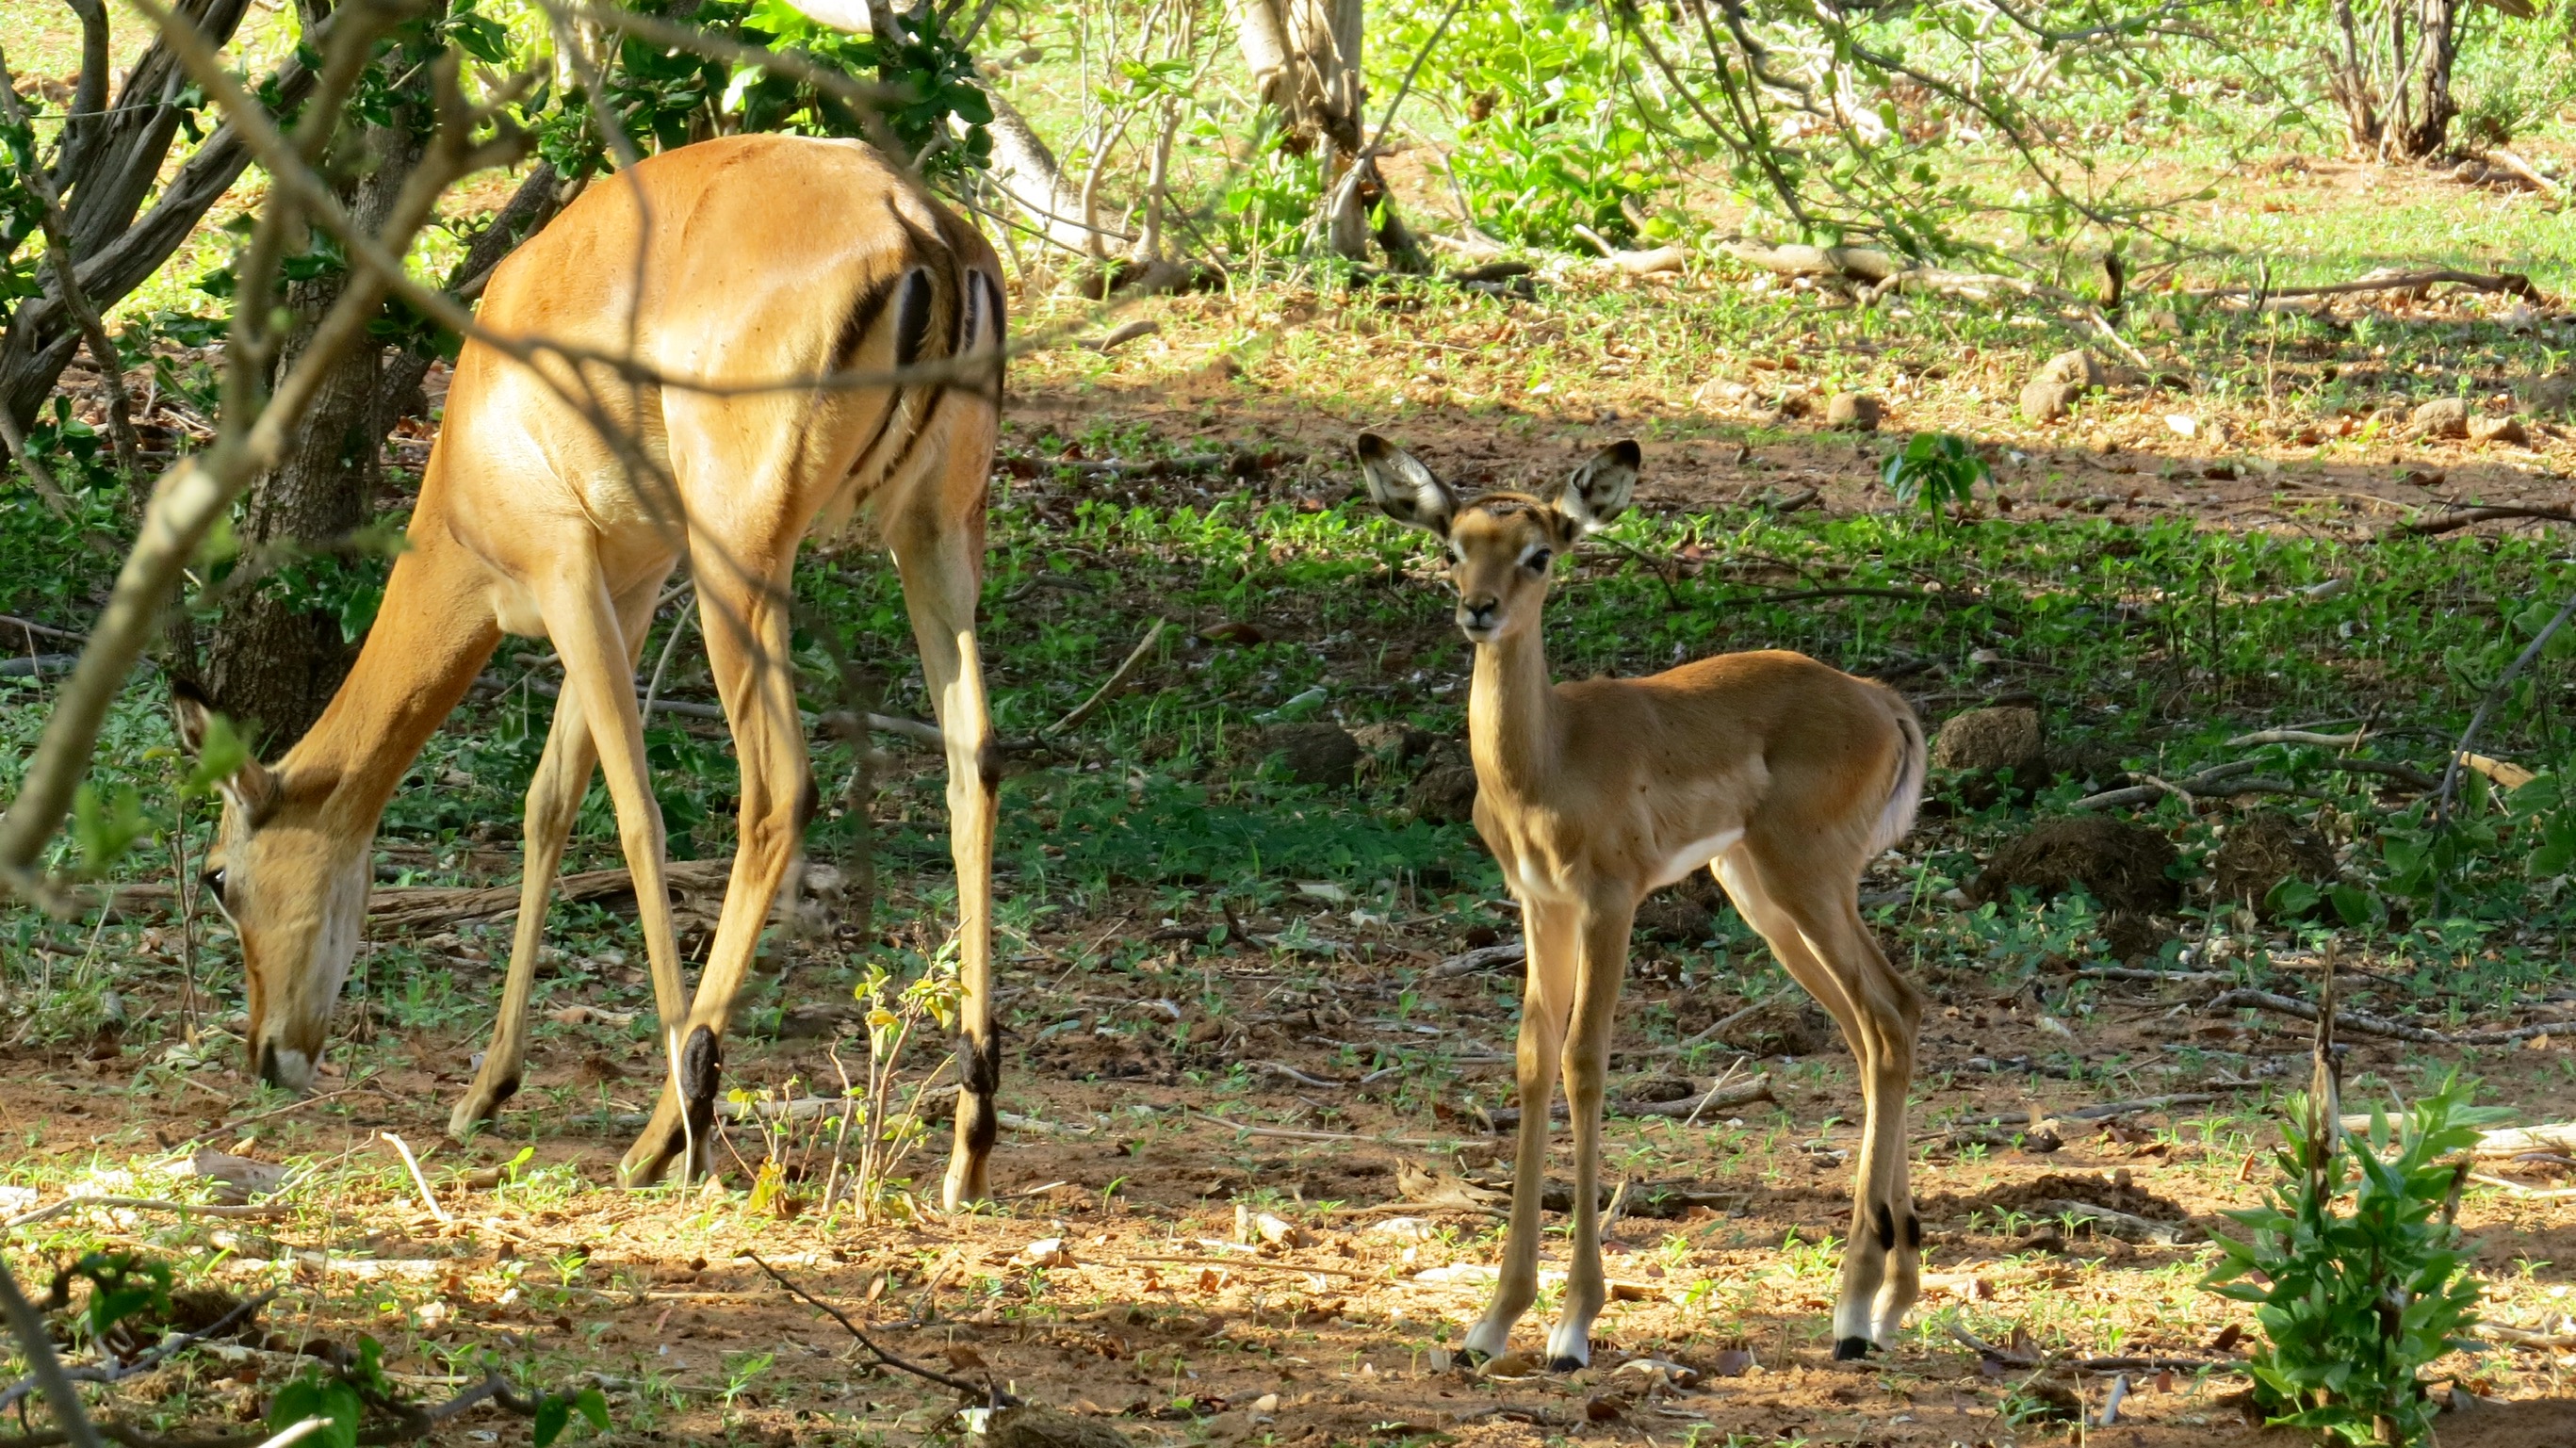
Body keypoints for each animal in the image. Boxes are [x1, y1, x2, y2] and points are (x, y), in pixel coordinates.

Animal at [174, 133, 1010, 1197]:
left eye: (218, 876)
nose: (268, 1054)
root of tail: (923, 229)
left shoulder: (566, 572)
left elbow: (630, 810)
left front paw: (669, 1118)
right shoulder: (629, 586)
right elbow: (548, 804)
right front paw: (485, 1089)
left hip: (744, 564)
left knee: (777, 787)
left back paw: (667, 1129)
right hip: (934, 536)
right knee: (973, 767)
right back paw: (969, 1144)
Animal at [1356, 433, 1929, 1368]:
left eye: (1539, 553)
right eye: (1453, 548)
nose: (1478, 610)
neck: (1548, 758)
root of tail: (1880, 700)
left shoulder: (1609, 899)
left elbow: (1585, 1061)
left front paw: (1573, 1325)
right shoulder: (1540, 904)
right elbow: (1532, 1059)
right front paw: (1491, 1322)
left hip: (1808, 879)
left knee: (1885, 1018)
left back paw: (1851, 1314)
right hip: (1763, 895)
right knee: (1882, 1021)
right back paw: (1888, 1302)